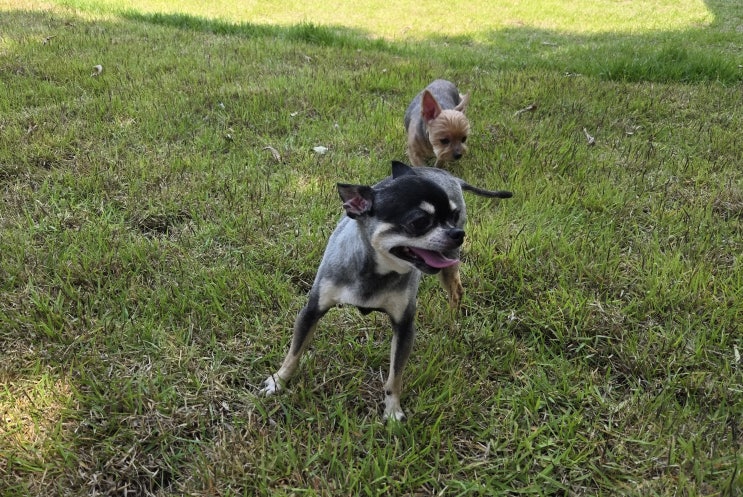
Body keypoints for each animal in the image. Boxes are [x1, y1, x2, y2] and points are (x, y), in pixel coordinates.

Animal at [260, 161, 512, 421]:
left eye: (453, 216)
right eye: (419, 222)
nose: (457, 233)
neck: (374, 271)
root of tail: (446, 174)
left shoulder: (404, 328)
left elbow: (394, 377)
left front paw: (392, 410)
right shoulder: (311, 311)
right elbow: (294, 352)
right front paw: (279, 381)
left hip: (449, 265)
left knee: (456, 291)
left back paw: (451, 321)